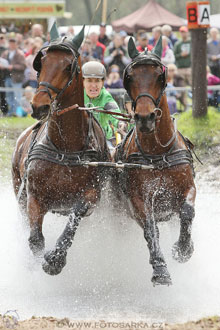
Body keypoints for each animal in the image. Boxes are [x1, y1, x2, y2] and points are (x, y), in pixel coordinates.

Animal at [11, 23, 109, 276]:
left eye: (68, 66)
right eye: (42, 62)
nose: (39, 106)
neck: (65, 148)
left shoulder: (91, 198)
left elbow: (75, 217)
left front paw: (55, 258)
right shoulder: (34, 197)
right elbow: (35, 239)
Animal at [115, 35, 196, 284]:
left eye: (160, 76)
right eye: (129, 77)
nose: (145, 117)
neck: (158, 154)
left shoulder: (187, 187)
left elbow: (187, 211)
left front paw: (183, 249)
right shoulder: (138, 199)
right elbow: (150, 228)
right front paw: (160, 268)